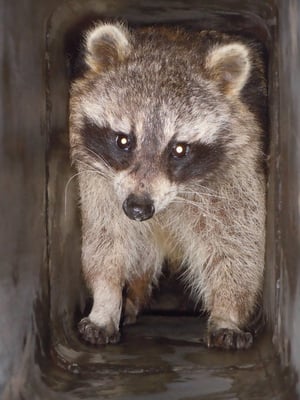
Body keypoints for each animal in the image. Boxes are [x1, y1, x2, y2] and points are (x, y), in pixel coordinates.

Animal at [70, 21, 268, 348]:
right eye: (123, 141)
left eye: (179, 149)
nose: (138, 208)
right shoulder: (101, 182)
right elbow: (107, 239)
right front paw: (106, 300)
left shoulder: (237, 170)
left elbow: (236, 243)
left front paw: (228, 312)